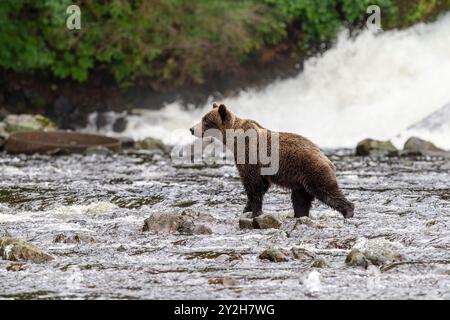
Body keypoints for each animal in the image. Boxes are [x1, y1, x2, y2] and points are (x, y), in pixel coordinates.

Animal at [190, 104, 356, 219]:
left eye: (205, 120)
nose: (191, 129)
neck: (233, 139)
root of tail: (328, 160)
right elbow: (261, 185)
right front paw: (246, 209)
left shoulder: (250, 155)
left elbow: (253, 185)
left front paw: (254, 212)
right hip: (300, 182)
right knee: (300, 200)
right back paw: (300, 215)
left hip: (312, 171)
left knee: (326, 191)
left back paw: (348, 210)